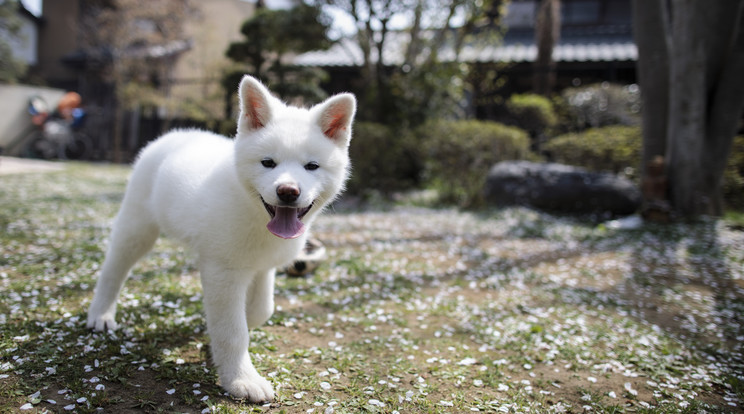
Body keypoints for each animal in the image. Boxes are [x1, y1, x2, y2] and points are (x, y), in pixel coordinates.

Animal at [87, 75, 354, 402]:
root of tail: (176, 134)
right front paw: (241, 379)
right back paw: (101, 313)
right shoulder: (223, 272)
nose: (288, 191)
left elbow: (261, 310)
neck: (255, 215)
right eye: (268, 163)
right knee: (114, 268)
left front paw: (228, 336)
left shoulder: (262, 267)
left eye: (311, 166)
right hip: (137, 227)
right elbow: (233, 332)